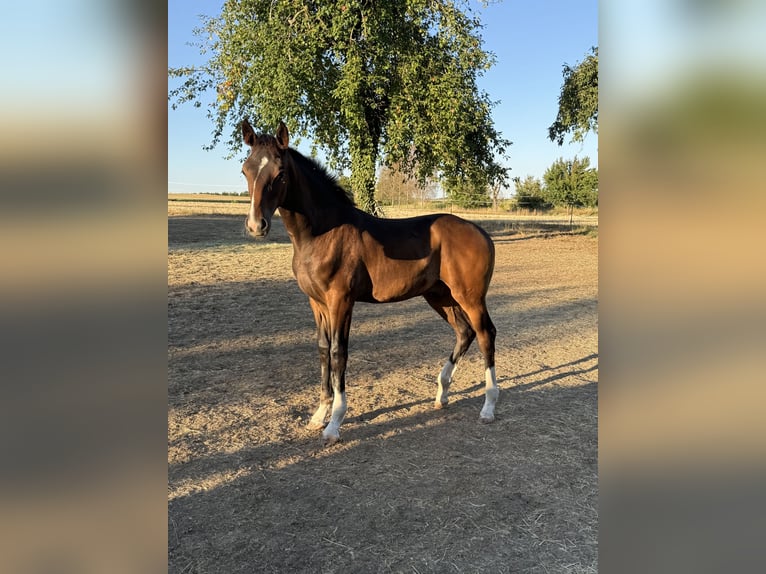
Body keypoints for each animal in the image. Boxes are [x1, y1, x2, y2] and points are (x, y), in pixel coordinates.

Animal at [240, 119, 498, 446]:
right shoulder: (316, 302)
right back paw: (441, 394)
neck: (323, 233)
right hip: (441, 296)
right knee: (465, 333)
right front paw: (318, 415)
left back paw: (488, 406)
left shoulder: (341, 301)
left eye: (280, 173)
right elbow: (323, 349)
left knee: (486, 334)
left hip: (470, 297)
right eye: (246, 170)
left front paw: (334, 423)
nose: (256, 226)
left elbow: (339, 352)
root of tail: (481, 232)